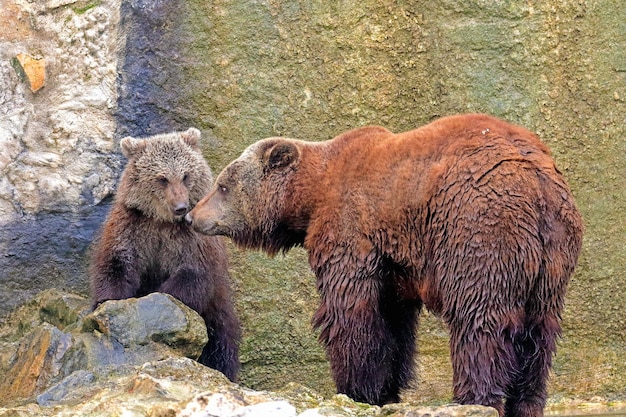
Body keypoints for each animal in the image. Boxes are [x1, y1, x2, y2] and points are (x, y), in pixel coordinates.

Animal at [89, 127, 240, 380]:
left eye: (186, 176)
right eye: (162, 178)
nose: (181, 207)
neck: (163, 221)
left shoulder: (192, 241)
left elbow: (192, 274)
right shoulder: (133, 226)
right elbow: (116, 263)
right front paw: (108, 302)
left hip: (217, 313)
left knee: (221, 345)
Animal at [184, 114, 580, 416]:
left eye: (222, 185)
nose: (191, 215)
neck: (312, 195)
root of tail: (537, 182)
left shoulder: (351, 228)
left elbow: (351, 313)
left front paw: (356, 388)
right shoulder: (396, 259)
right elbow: (394, 322)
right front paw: (388, 388)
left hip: (478, 225)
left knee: (479, 320)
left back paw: (474, 398)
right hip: (553, 254)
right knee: (540, 330)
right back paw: (526, 402)